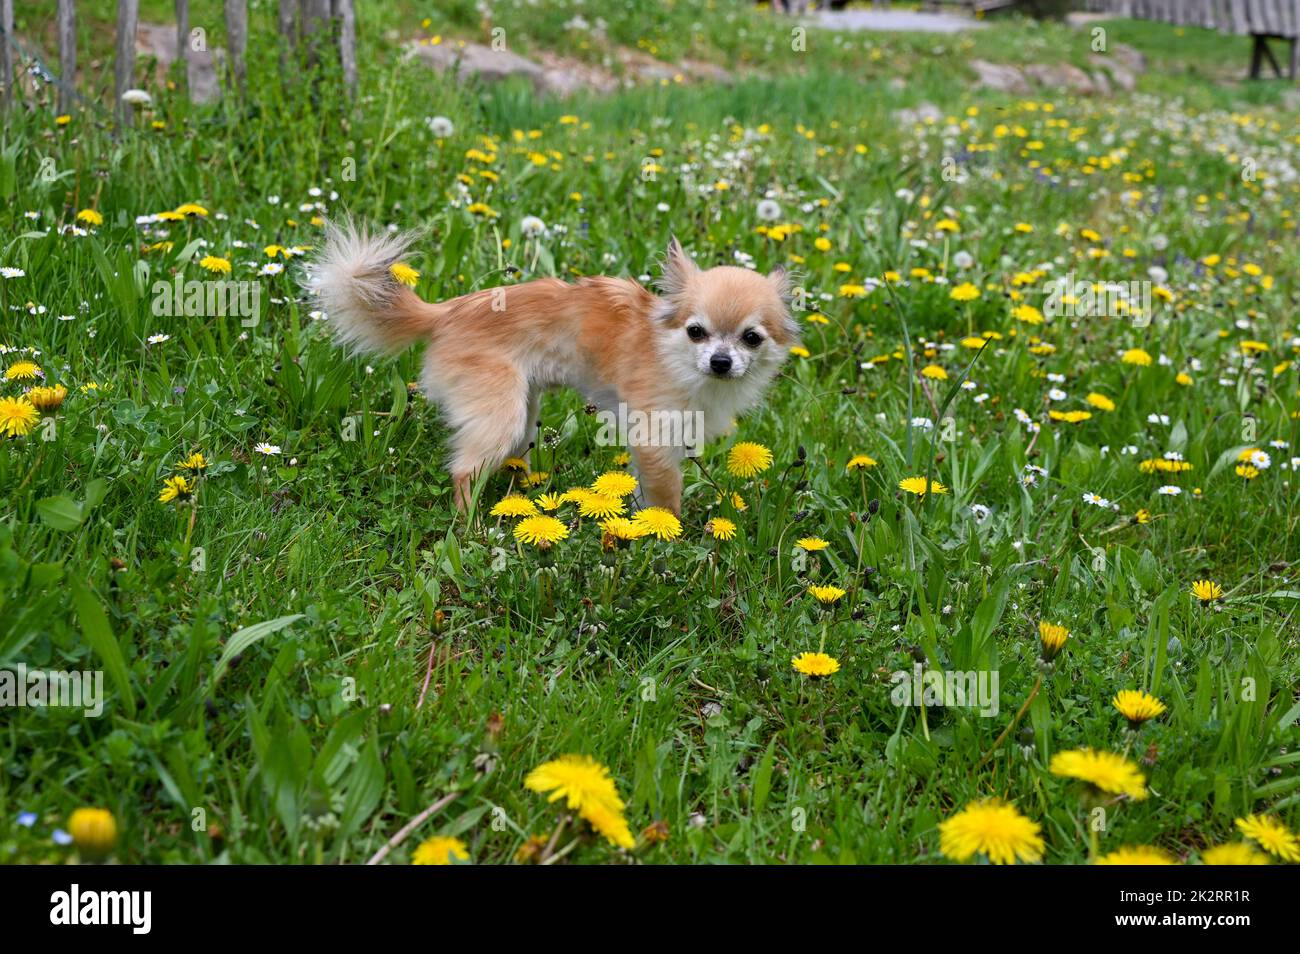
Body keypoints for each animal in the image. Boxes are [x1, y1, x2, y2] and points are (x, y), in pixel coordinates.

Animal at [310, 222, 795, 514]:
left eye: (751, 338)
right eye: (696, 332)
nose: (720, 361)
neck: (673, 356)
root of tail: (446, 312)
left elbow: (645, 489)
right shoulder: (655, 438)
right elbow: (665, 497)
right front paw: (668, 539)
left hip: (524, 413)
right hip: (502, 417)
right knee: (464, 471)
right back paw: (473, 530)